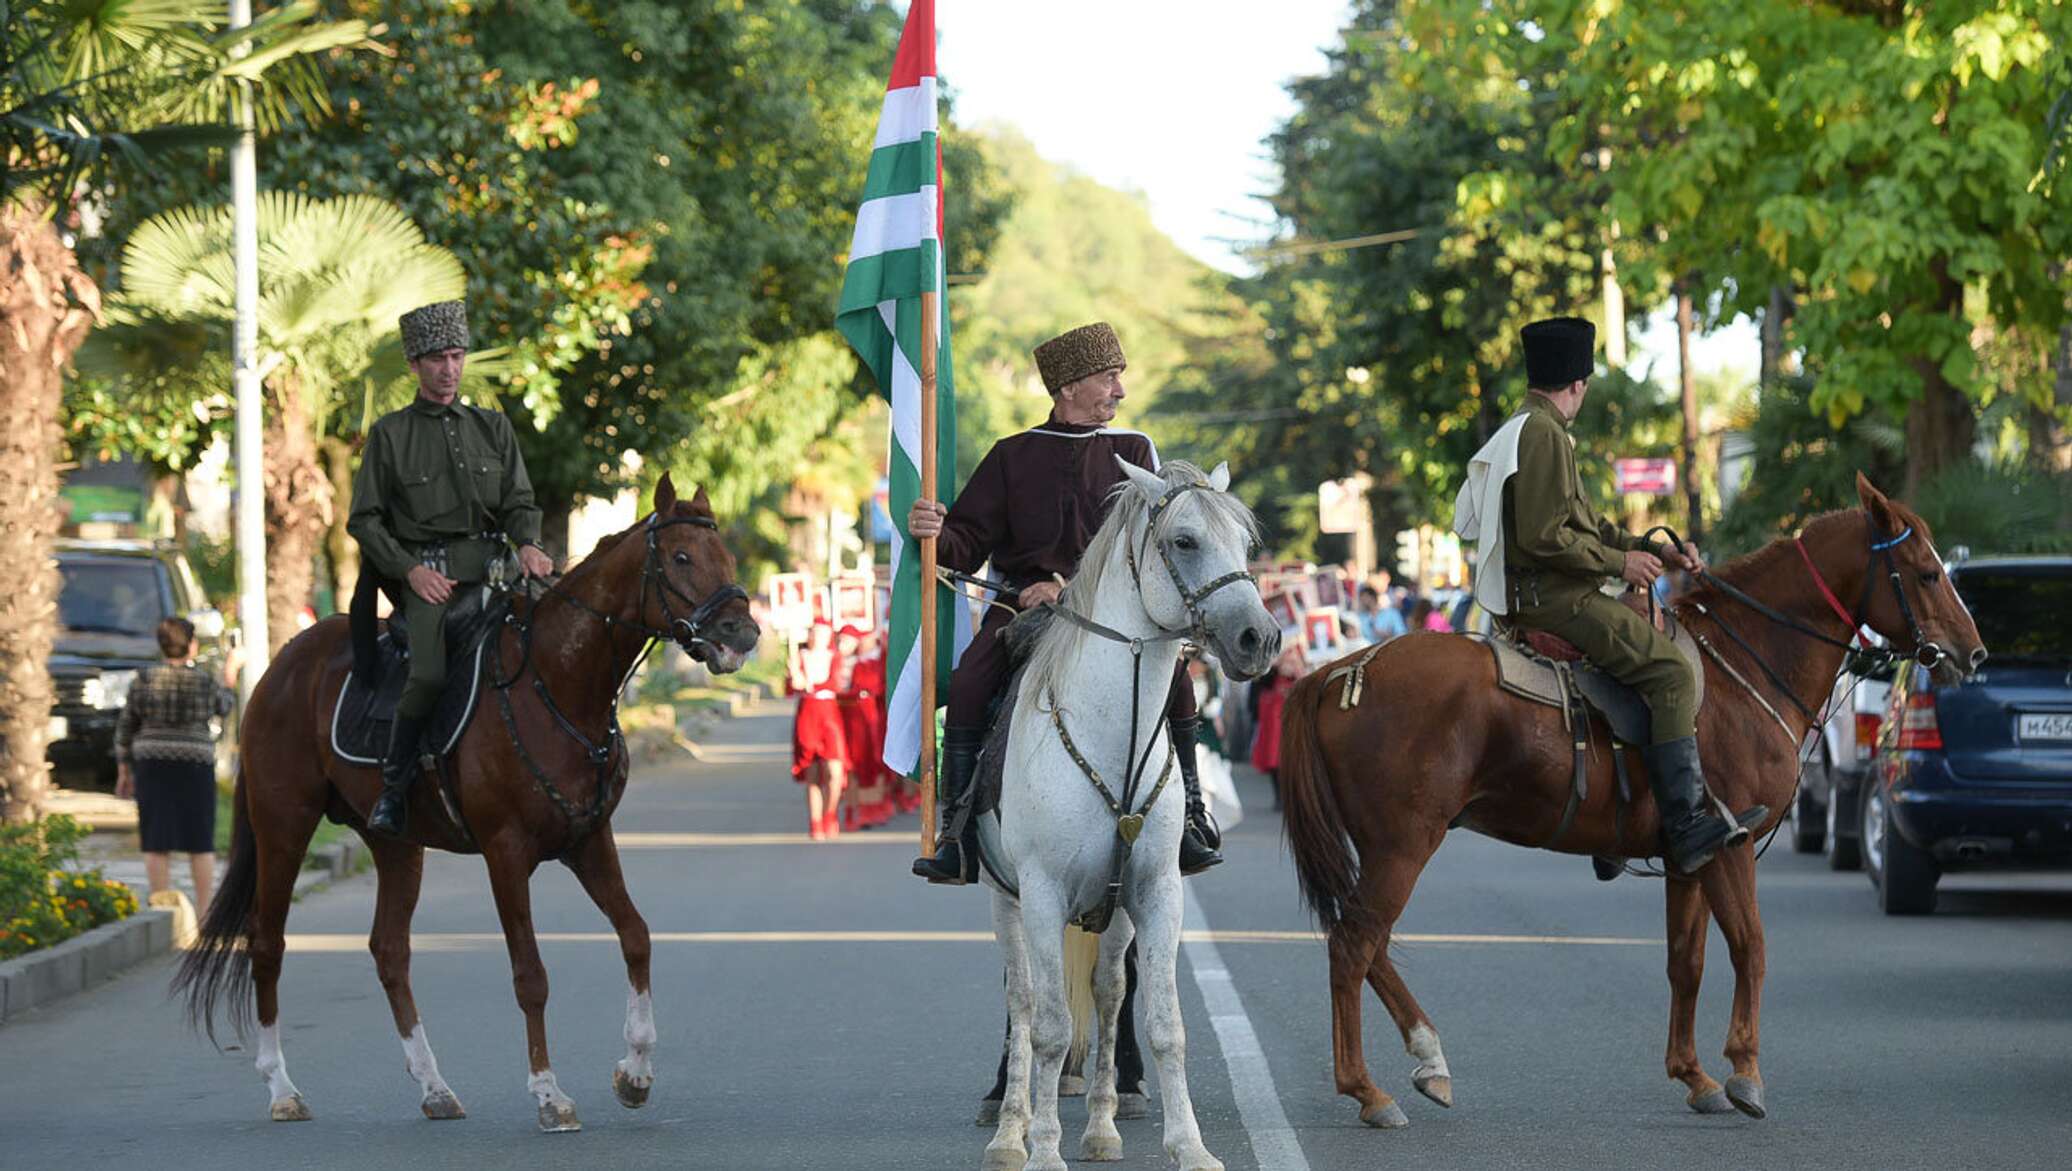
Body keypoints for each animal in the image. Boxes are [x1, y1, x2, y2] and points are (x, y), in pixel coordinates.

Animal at [176, 474, 762, 1135]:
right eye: (682, 557)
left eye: (726, 555)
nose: (742, 633)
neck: (558, 685)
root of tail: (280, 665)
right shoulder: (505, 854)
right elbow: (531, 976)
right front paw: (549, 1093)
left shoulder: (590, 842)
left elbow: (636, 936)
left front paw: (634, 1074)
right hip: (284, 828)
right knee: (266, 944)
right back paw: (281, 1087)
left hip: (396, 844)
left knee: (390, 952)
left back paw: (434, 1087)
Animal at [973, 455, 1276, 1168]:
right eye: (1185, 541)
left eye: (1245, 542)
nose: (1260, 638)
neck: (1111, 732)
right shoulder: (1042, 893)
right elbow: (1051, 1029)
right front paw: (1043, 1149)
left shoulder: (1156, 889)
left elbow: (1165, 1023)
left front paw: (1189, 1147)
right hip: (1006, 900)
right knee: (1022, 1001)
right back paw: (1010, 1130)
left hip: (1112, 915)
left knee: (1109, 992)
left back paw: (1104, 1125)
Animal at [1276, 474, 1989, 1135]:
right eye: (1927, 572)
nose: (1972, 652)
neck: (1743, 669)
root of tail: (1343, 671)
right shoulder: (1730, 849)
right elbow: (1750, 947)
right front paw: (1745, 1072)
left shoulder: (1688, 858)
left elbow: (1686, 962)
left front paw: (1695, 1076)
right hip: (1404, 844)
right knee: (1354, 944)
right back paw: (1369, 1091)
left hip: (1389, 848)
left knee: (1369, 944)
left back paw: (1429, 1061)